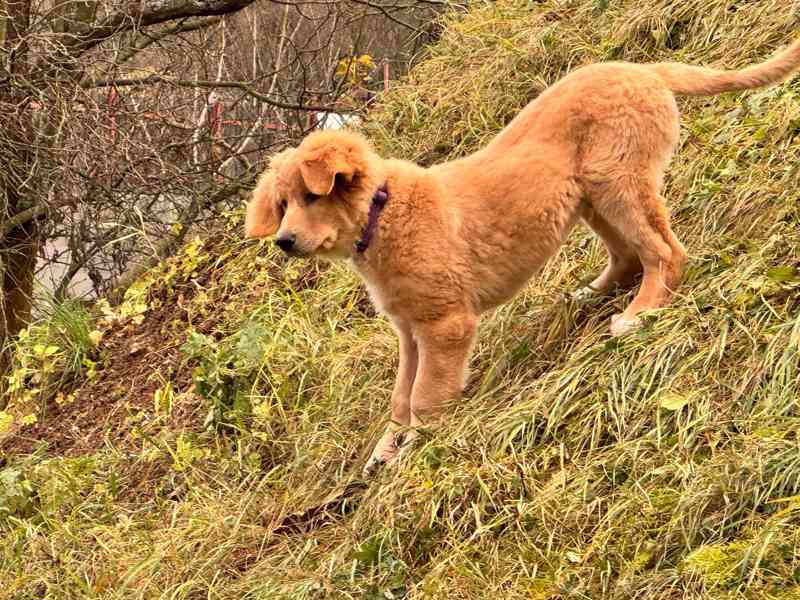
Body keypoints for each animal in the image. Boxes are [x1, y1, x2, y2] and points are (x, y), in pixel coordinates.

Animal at [244, 39, 800, 476]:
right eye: (283, 204)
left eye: (312, 196)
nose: (284, 241)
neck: (384, 215)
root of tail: (644, 70)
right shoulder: (409, 329)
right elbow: (401, 394)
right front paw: (386, 448)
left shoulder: (445, 325)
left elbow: (425, 395)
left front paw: (416, 448)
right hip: (590, 197)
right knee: (628, 255)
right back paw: (590, 297)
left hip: (618, 182)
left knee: (664, 252)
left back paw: (640, 313)